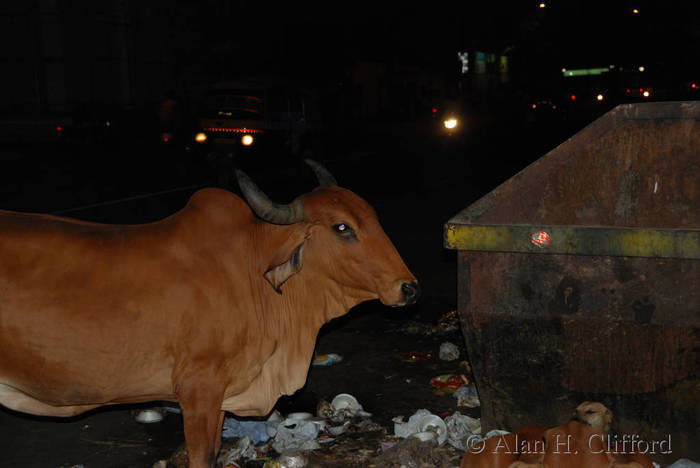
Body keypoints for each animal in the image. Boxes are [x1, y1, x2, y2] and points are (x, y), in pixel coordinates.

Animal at [0, 159, 416, 466]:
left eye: (372, 217)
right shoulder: (198, 391)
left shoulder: (220, 398)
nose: (409, 288)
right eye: (342, 227)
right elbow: (202, 458)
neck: (252, 273)